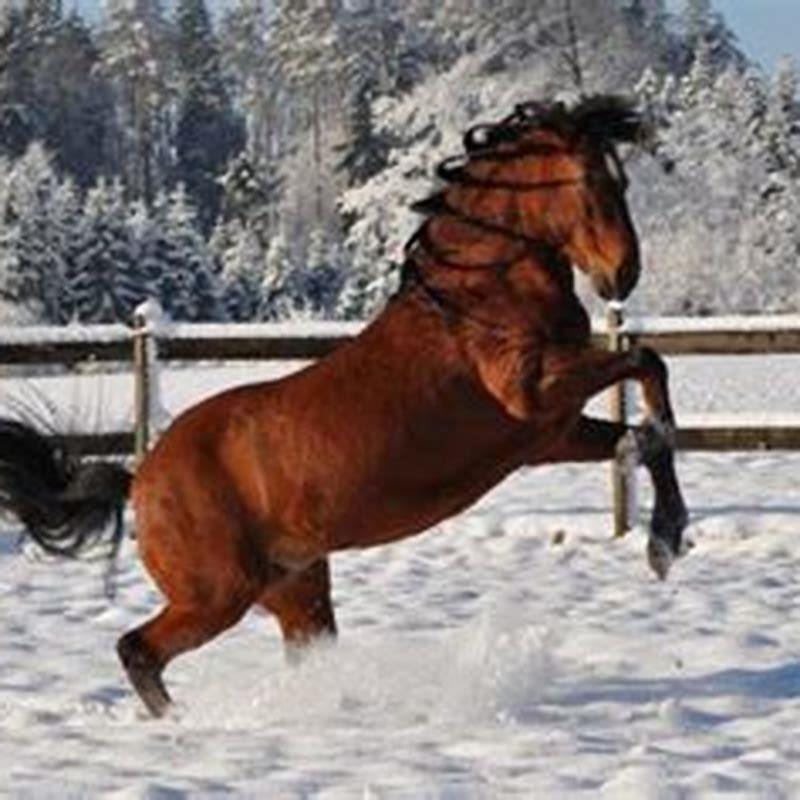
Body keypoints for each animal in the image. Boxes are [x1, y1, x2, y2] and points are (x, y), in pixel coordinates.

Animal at [0, 95, 688, 717]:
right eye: (595, 181)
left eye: (623, 181)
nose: (622, 273)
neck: (479, 295)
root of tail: (141, 477)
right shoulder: (531, 391)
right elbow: (647, 361)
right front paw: (665, 534)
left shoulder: (548, 434)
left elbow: (641, 432)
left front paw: (666, 537)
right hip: (217, 594)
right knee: (136, 649)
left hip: (295, 588)